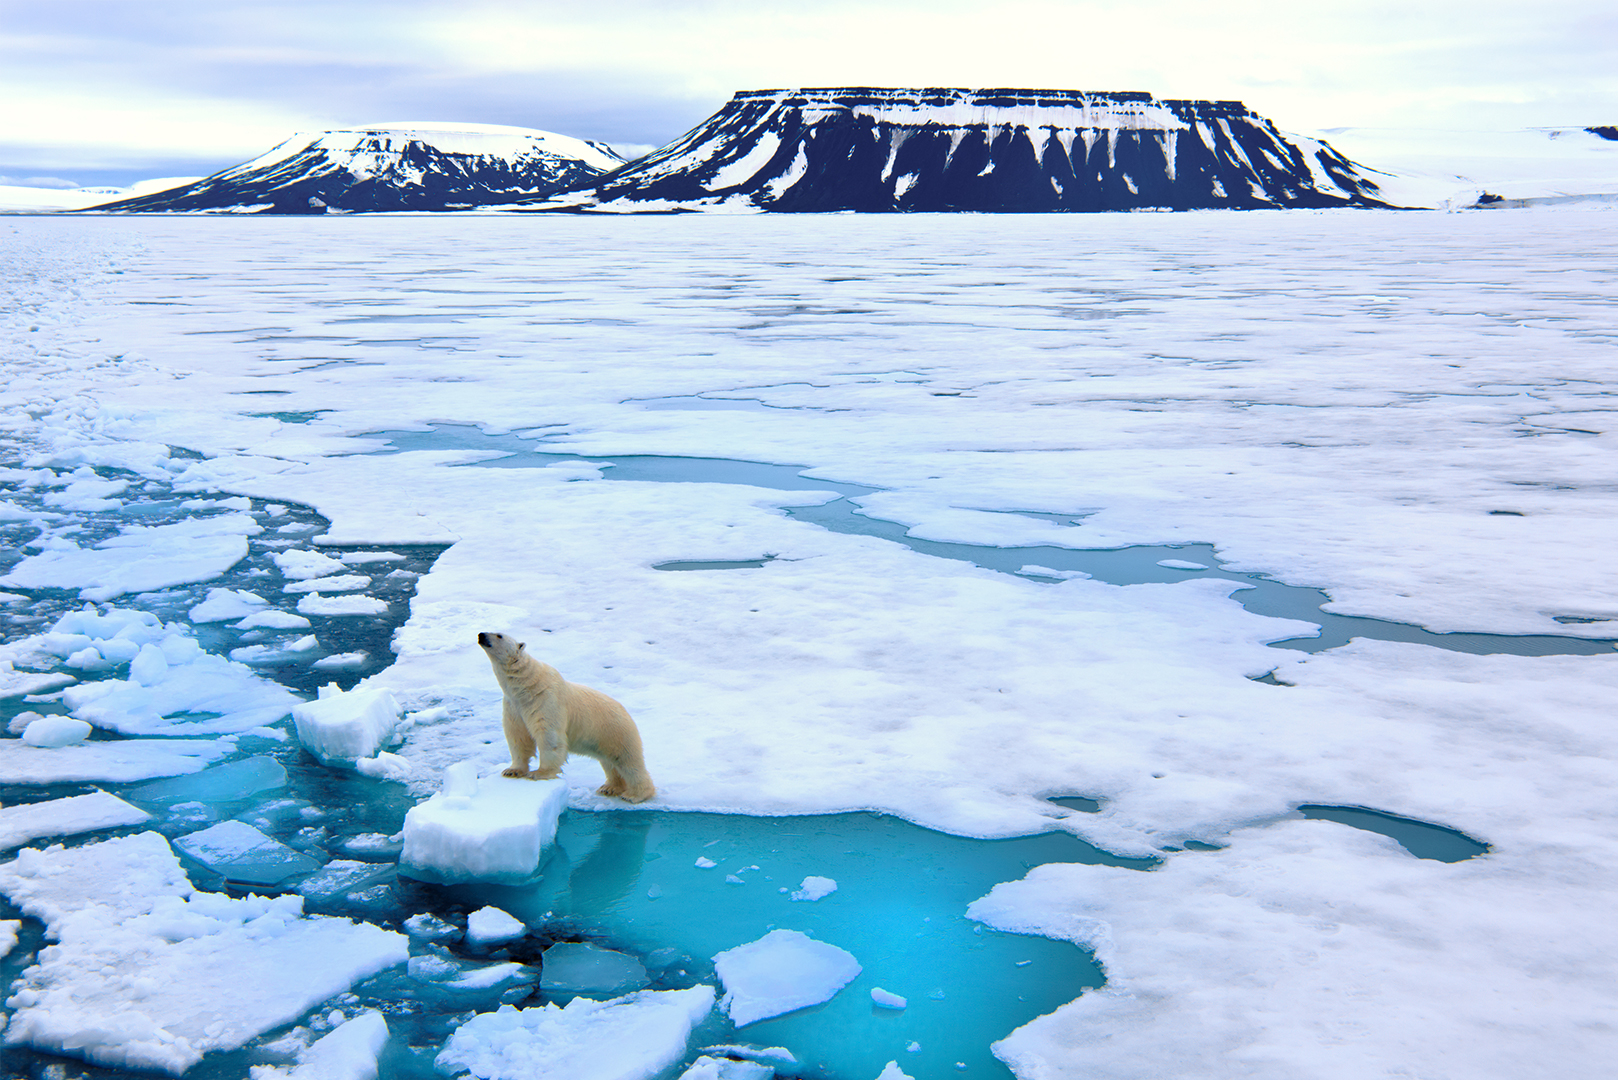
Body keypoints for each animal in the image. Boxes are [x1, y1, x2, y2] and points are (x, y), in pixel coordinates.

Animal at [476, 631, 656, 803]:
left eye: (499, 635)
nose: (481, 635)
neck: (526, 686)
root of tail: (626, 712)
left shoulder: (546, 700)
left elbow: (549, 736)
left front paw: (540, 773)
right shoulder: (514, 706)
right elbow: (518, 737)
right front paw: (512, 770)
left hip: (616, 731)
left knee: (628, 761)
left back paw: (635, 795)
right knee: (610, 763)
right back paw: (609, 788)